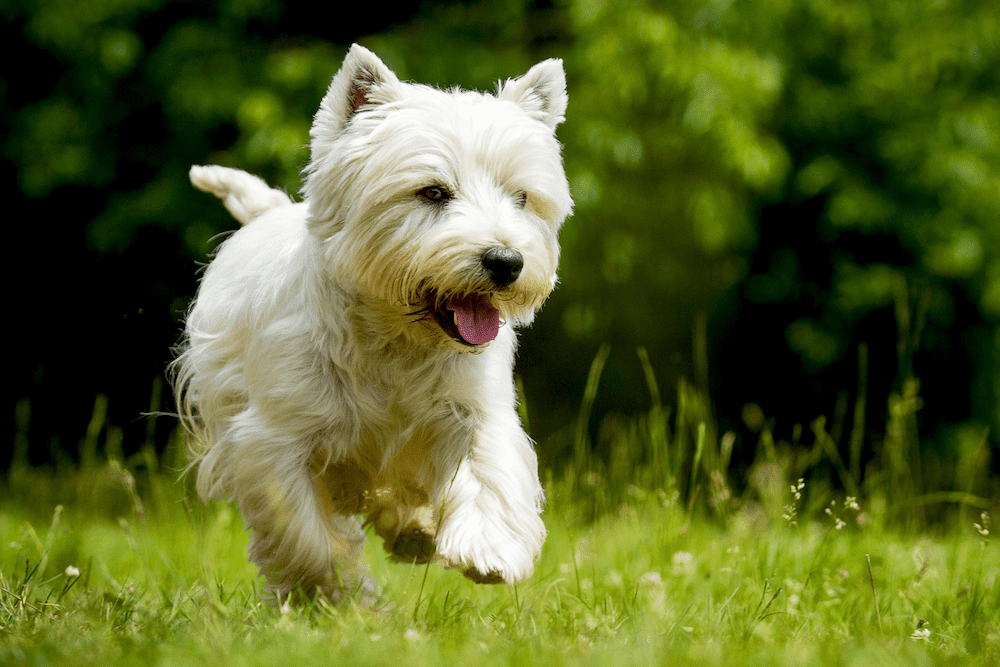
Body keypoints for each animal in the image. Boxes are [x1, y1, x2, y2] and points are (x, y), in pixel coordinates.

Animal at [174, 44, 572, 604]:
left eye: (521, 197)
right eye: (433, 192)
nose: (506, 261)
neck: (396, 340)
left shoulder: (475, 409)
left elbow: (489, 467)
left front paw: (488, 550)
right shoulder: (273, 439)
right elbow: (304, 534)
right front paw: (341, 597)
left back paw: (416, 533)